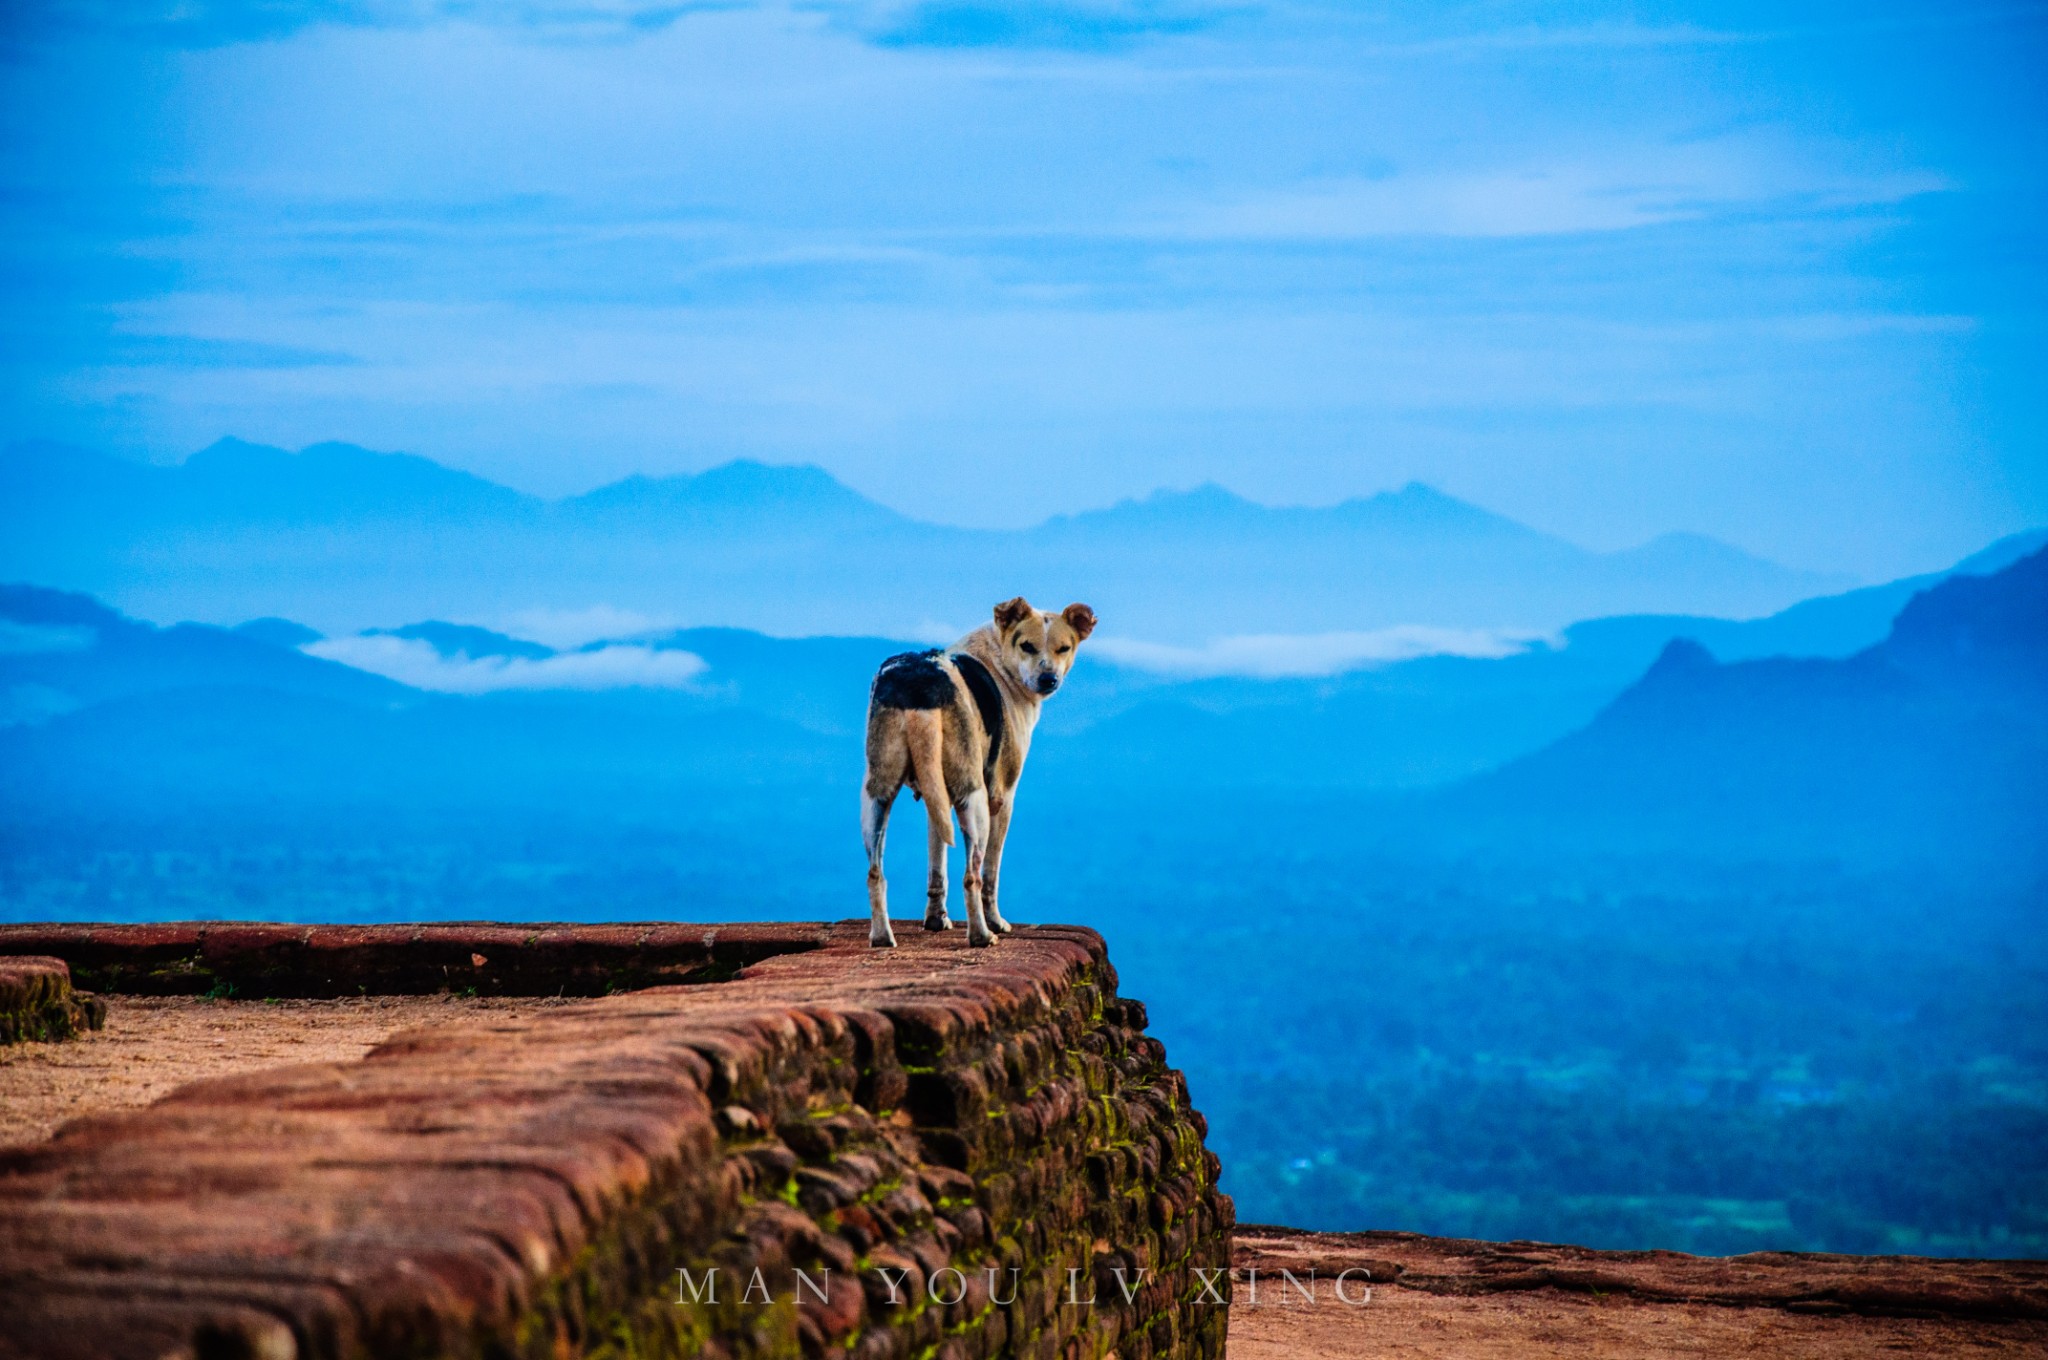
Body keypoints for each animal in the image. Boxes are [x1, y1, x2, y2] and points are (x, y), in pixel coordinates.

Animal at [860, 593, 1097, 946]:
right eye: (1027, 646)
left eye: (1064, 648)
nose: (1048, 679)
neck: (999, 658)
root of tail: (922, 688)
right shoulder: (1002, 799)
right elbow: (991, 873)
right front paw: (996, 921)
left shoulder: (937, 797)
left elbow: (937, 863)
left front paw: (936, 919)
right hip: (974, 797)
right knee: (972, 875)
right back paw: (982, 934)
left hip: (877, 794)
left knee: (875, 872)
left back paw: (881, 936)